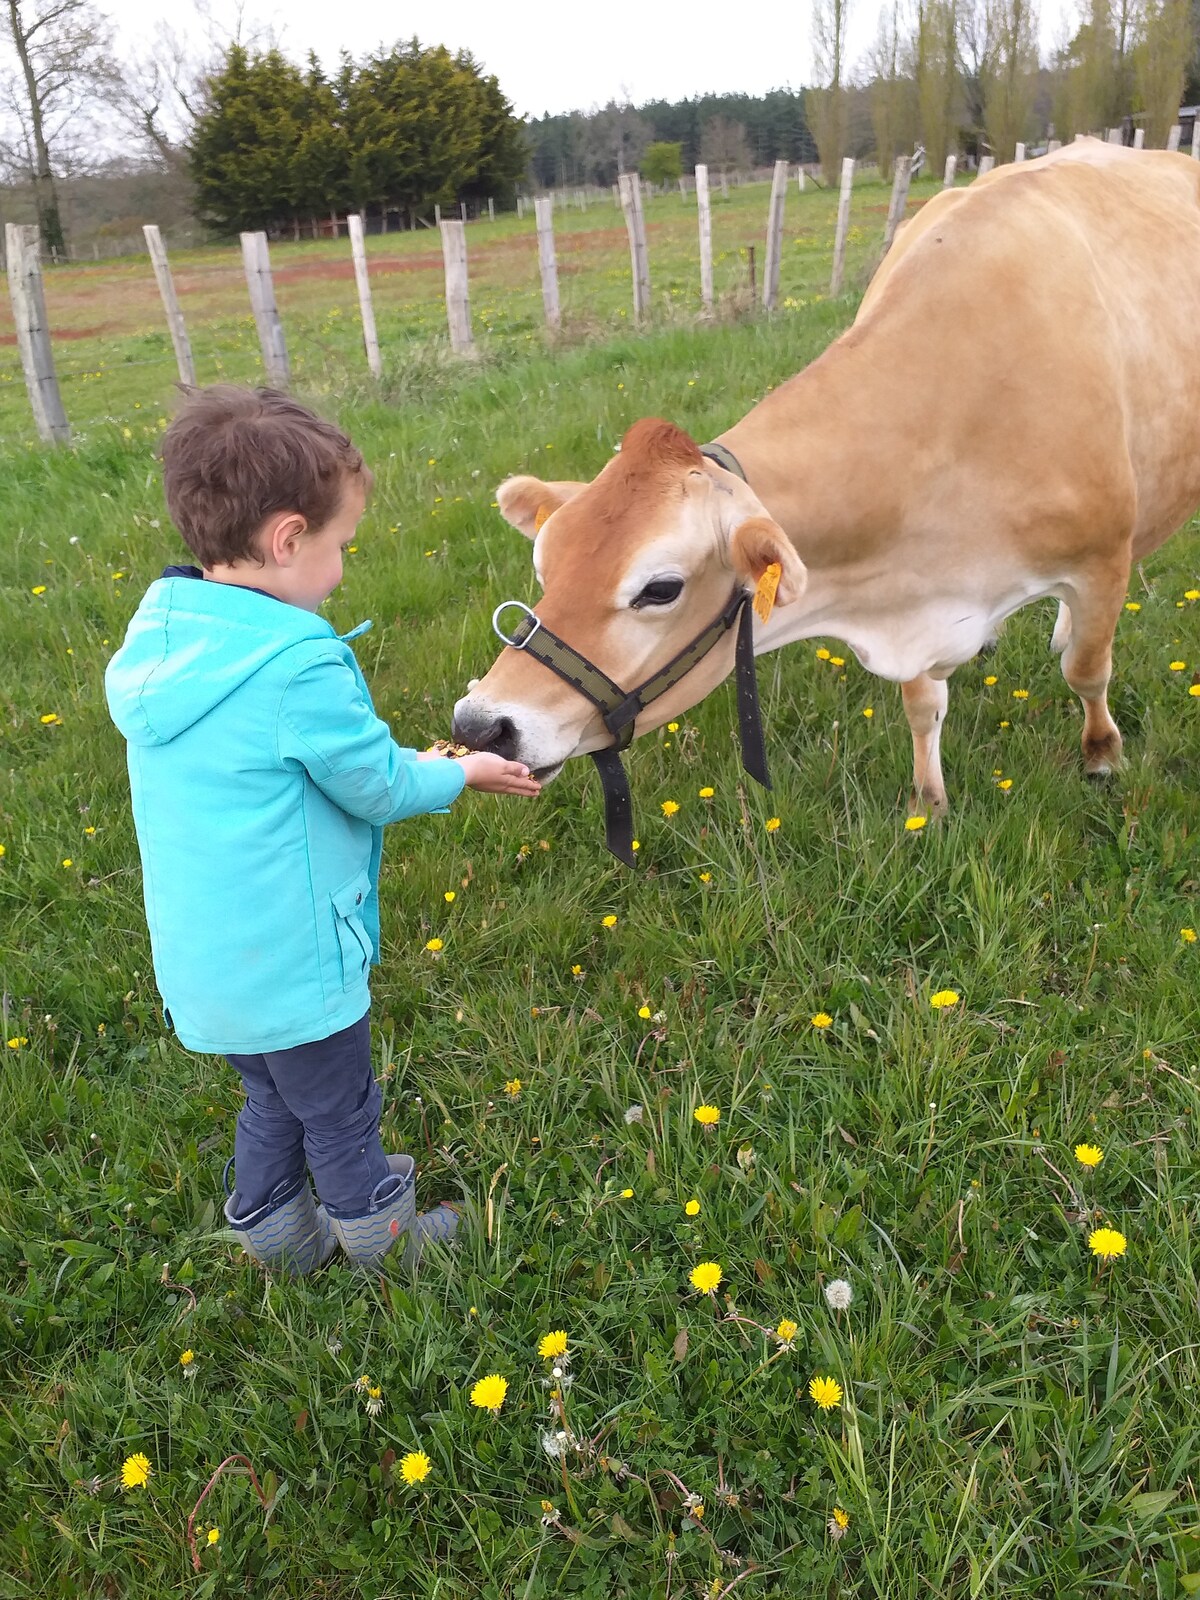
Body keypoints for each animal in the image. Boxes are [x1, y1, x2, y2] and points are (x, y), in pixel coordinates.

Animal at [454, 144, 1200, 812]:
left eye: (659, 589)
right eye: (545, 569)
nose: (480, 724)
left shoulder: (1101, 560)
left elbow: (1088, 669)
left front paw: (1103, 756)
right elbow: (923, 705)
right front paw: (930, 803)